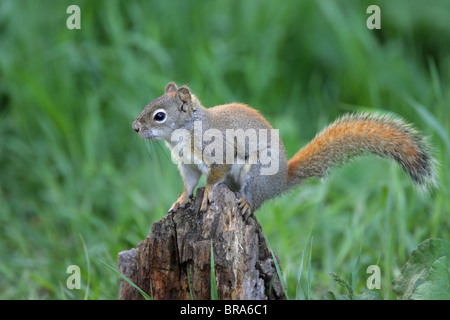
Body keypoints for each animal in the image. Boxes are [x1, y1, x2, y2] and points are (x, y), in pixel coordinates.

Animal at [133, 81, 436, 219]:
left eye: (159, 116)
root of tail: (282, 181)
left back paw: (246, 203)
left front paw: (207, 193)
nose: (135, 127)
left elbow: (214, 173)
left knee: (255, 200)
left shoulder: (217, 149)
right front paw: (181, 199)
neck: (183, 133)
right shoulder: (187, 164)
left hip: (257, 175)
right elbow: (189, 183)